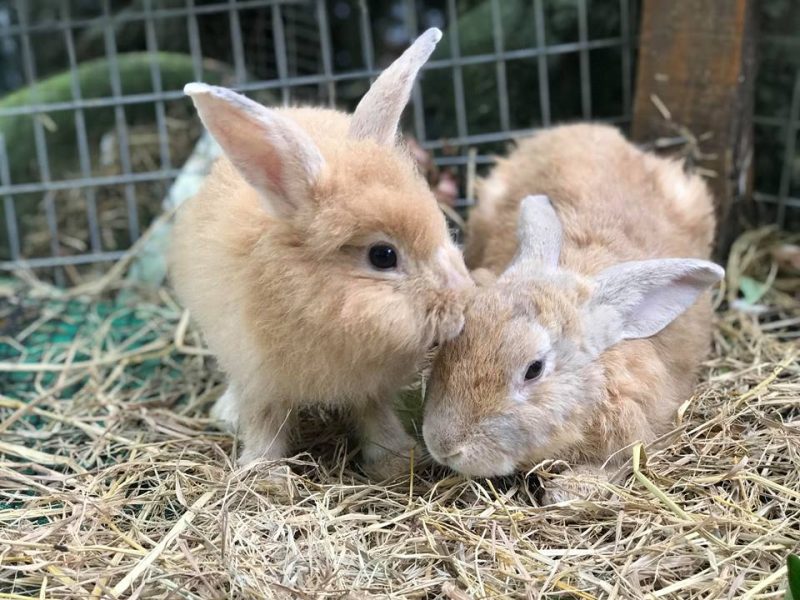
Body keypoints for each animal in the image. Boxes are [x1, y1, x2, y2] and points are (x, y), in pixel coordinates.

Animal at [166, 28, 472, 480]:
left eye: (441, 226)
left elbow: (374, 415)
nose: (459, 309)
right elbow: (265, 423)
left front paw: (396, 462)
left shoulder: (370, 388)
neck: (320, 306)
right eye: (383, 255)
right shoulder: (261, 379)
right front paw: (266, 477)